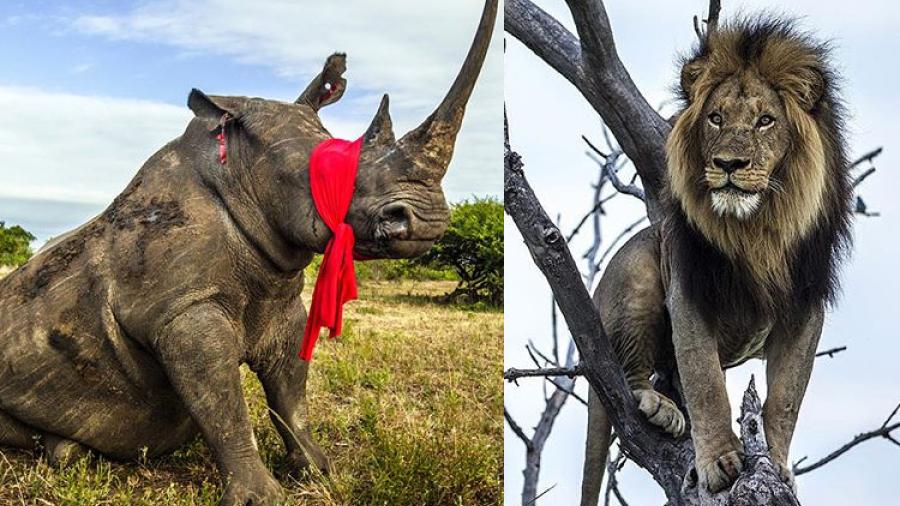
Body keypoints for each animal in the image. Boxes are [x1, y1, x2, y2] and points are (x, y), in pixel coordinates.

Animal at [580, 17, 852, 504]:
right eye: (716, 118)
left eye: (765, 121)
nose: (728, 163)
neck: (757, 230)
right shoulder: (688, 289)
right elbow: (706, 383)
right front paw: (719, 462)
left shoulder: (806, 306)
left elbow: (786, 398)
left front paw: (776, 464)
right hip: (638, 271)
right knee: (631, 377)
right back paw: (659, 405)